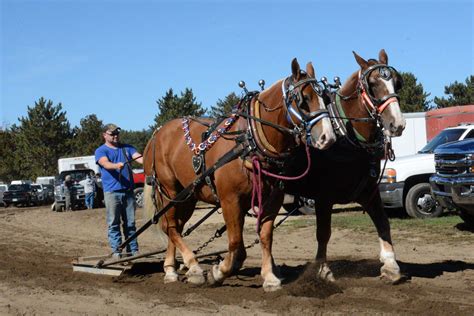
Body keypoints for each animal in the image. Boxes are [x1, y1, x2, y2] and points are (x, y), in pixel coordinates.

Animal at [143, 58, 336, 292]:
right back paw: (193, 267)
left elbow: (265, 236)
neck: (249, 139)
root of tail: (157, 133)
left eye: (325, 97)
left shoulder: (271, 199)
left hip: (187, 196)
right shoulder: (230, 200)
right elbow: (235, 243)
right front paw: (218, 272)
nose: (328, 137)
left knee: (175, 227)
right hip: (168, 190)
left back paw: (171, 268)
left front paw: (270, 277)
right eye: (304, 99)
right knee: (170, 226)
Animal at [284, 50, 406, 284]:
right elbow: (323, 233)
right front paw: (323, 270)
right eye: (372, 84)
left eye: (397, 82)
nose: (397, 124)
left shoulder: (368, 190)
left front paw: (390, 265)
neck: (346, 136)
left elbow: (383, 222)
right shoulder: (323, 197)